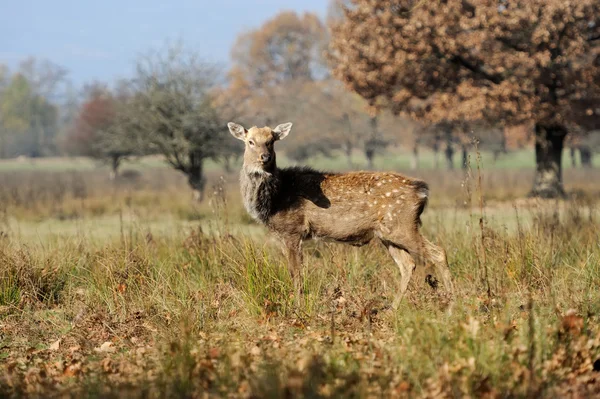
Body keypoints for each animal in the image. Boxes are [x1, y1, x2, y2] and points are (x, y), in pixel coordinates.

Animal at [227, 120, 452, 308]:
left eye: (271, 141)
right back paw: (392, 308)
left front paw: (298, 307)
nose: (264, 157)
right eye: (250, 141)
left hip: (402, 225)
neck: (275, 200)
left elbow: (295, 273)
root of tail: (422, 191)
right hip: (387, 233)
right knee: (408, 264)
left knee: (438, 252)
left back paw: (452, 303)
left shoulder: (293, 230)